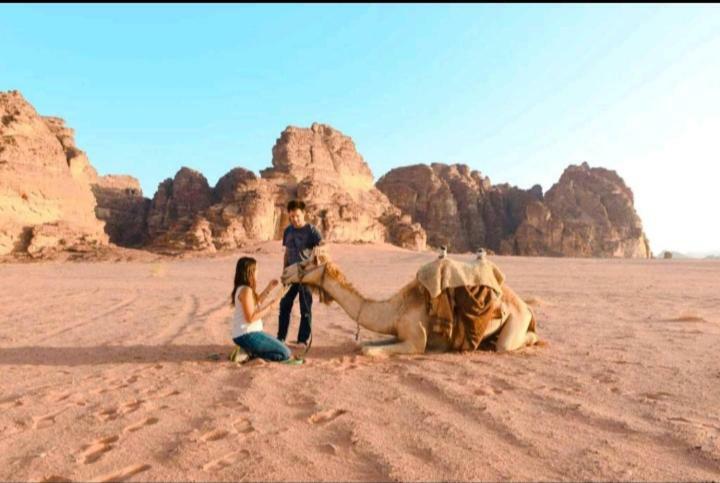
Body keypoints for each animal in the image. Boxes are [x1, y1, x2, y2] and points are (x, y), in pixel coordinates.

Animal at [282, 248, 540, 358]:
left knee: (509, 343)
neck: (396, 309)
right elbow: (364, 344)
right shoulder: (398, 332)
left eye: (304, 264)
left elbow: (367, 350)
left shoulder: (416, 341)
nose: (284, 273)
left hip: (517, 319)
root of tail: (526, 307)